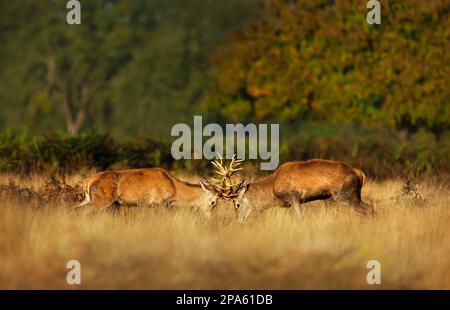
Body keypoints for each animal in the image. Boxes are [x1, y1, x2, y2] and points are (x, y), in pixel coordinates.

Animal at [76, 166, 225, 219]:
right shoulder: (159, 203)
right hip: (101, 200)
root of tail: (88, 181)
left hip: (89, 199)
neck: (174, 190)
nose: (209, 218)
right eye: (213, 202)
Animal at [214, 159, 372, 222]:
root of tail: (360, 174)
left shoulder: (293, 196)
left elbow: (299, 217)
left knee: (369, 208)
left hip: (344, 194)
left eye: (237, 204)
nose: (238, 221)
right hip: (354, 194)